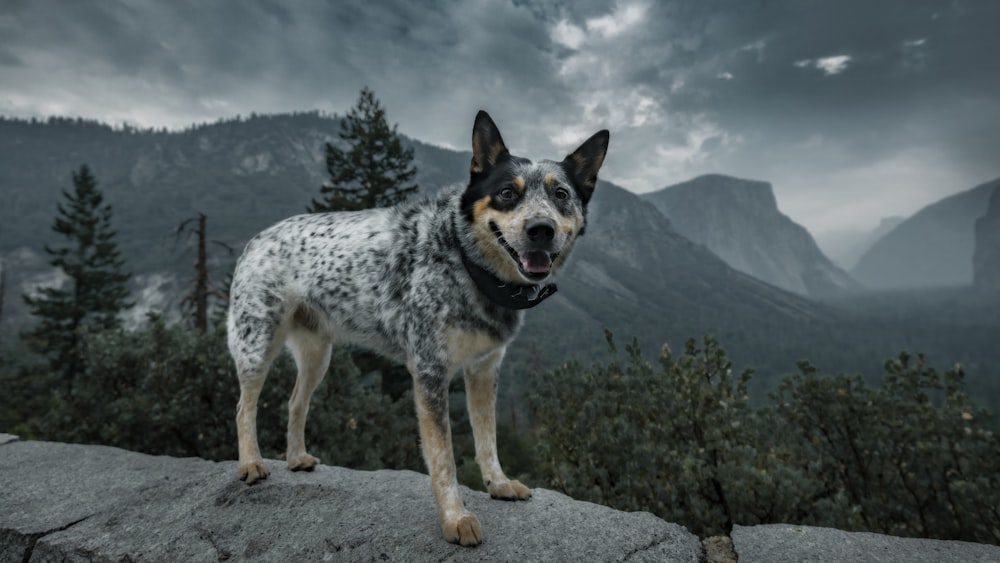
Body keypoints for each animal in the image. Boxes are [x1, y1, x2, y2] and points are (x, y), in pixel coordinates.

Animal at [228, 110, 608, 548]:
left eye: (560, 194)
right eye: (506, 193)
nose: (541, 229)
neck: (465, 260)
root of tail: (257, 238)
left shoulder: (484, 369)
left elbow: (487, 436)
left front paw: (498, 483)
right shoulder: (430, 370)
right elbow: (444, 457)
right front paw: (455, 518)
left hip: (317, 355)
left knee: (295, 402)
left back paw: (295, 458)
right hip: (257, 344)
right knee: (244, 406)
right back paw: (252, 463)